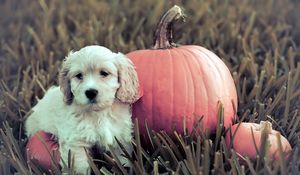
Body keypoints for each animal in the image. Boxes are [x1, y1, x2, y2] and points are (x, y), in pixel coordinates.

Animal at [24, 45, 141, 174]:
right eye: (79, 75)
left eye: (104, 73)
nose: (91, 92)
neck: (98, 113)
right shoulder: (76, 143)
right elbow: (80, 167)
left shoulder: (120, 137)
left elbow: (123, 160)